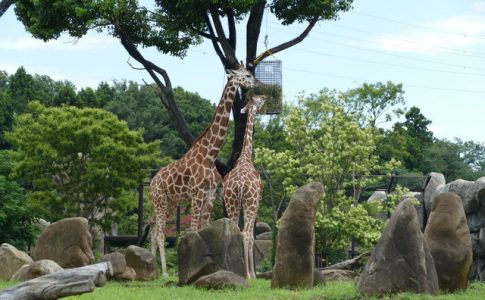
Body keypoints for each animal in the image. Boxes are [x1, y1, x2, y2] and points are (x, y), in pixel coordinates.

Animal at [149, 63, 255, 276]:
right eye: (247, 75)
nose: (256, 83)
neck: (210, 154)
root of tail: (151, 182)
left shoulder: (210, 195)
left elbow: (205, 230)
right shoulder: (197, 194)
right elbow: (192, 230)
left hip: (169, 203)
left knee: (154, 231)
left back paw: (153, 270)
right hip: (160, 201)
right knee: (159, 234)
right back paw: (164, 273)